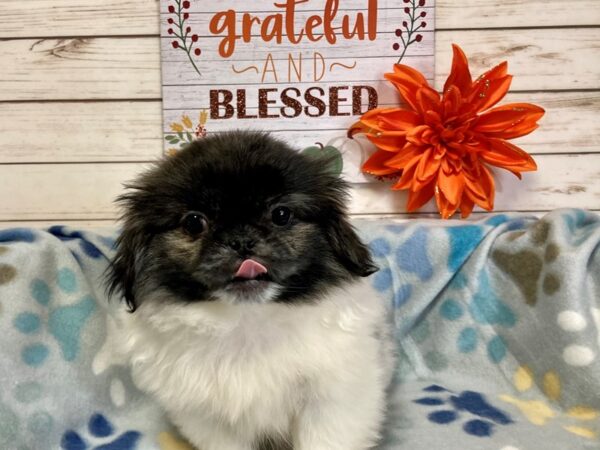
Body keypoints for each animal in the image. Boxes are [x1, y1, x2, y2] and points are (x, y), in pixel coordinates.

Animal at [108, 131, 394, 450]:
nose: (241, 239)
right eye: (194, 222)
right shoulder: (208, 419)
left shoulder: (333, 402)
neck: (246, 321)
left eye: (281, 215)